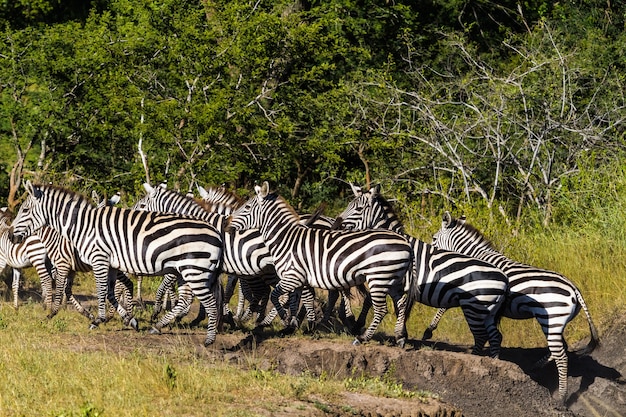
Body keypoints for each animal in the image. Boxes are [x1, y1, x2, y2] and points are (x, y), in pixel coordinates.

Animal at [11, 181, 223, 344]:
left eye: (25, 210)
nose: (12, 236)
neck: (83, 226)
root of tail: (217, 234)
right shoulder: (111, 264)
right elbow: (110, 293)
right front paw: (127, 319)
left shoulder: (97, 259)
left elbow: (99, 291)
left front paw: (97, 318)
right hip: (186, 272)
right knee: (190, 299)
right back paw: (161, 326)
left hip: (193, 271)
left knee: (210, 303)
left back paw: (209, 339)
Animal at [227, 180, 412, 346]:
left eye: (247, 208)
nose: (227, 226)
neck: (285, 238)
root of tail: (405, 242)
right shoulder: (299, 279)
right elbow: (296, 300)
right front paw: (294, 325)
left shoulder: (292, 276)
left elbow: (277, 296)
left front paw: (287, 320)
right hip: (392, 280)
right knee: (401, 303)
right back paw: (400, 338)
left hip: (379, 278)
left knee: (381, 309)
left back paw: (362, 338)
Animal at [332, 185, 508, 358]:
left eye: (358, 208)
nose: (335, 226)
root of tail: (504, 279)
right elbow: (397, 308)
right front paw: (401, 335)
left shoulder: (389, 280)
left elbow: (374, 301)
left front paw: (357, 325)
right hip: (485, 311)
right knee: (495, 336)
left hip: (475, 308)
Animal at [428, 213, 600, 402]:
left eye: (434, 239)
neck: (476, 256)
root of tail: (574, 288)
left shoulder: (472, 289)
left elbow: (443, 307)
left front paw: (429, 329)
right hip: (554, 323)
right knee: (561, 348)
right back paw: (535, 367)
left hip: (552, 319)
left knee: (561, 355)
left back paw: (561, 397)